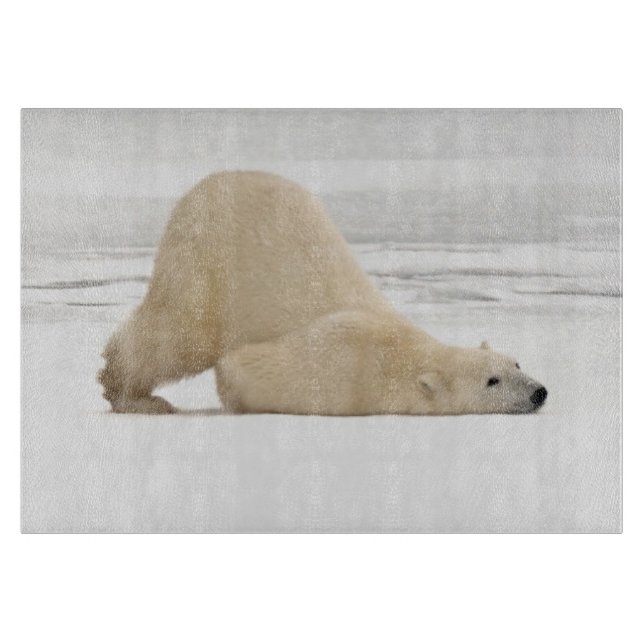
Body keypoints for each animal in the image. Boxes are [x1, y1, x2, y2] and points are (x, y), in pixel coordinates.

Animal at [98, 170, 547, 415]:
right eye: (492, 381)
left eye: (518, 363)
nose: (539, 392)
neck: (399, 354)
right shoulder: (340, 364)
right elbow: (245, 368)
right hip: (205, 262)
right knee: (178, 335)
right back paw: (133, 395)